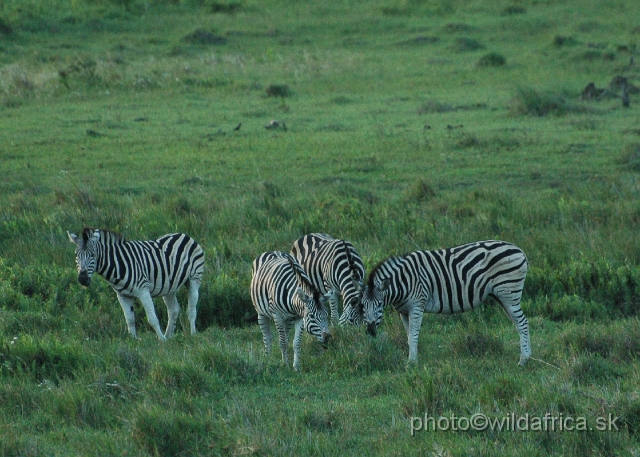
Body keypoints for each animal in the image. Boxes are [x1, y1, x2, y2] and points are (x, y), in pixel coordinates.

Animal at [68, 227, 204, 338]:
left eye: (93, 255)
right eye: (76, 255)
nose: (82, 279)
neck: (118, 264)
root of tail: (184, 234)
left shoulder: (143, 291)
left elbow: (152, 319)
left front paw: (161, 341)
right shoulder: (122, 295)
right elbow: (130, 320)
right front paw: (133, 341)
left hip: (194, 279)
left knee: (191, 309)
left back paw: (192, 334)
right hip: (169, 286)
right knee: (173, 310)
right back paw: (169, 336)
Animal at [362, 240, 532, 366]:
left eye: (379, 305)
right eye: (362, 306)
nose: (370, 331)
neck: (403, 282)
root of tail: (519, 249)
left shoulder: (417, 305)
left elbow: (414, 335)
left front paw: (412, 363)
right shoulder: (403, 311)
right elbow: (409, 337)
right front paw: (412, 359)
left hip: (509, 292)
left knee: (523, 322)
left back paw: (524, 360)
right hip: (502, 296)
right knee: (517, 323)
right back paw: (526, 356)